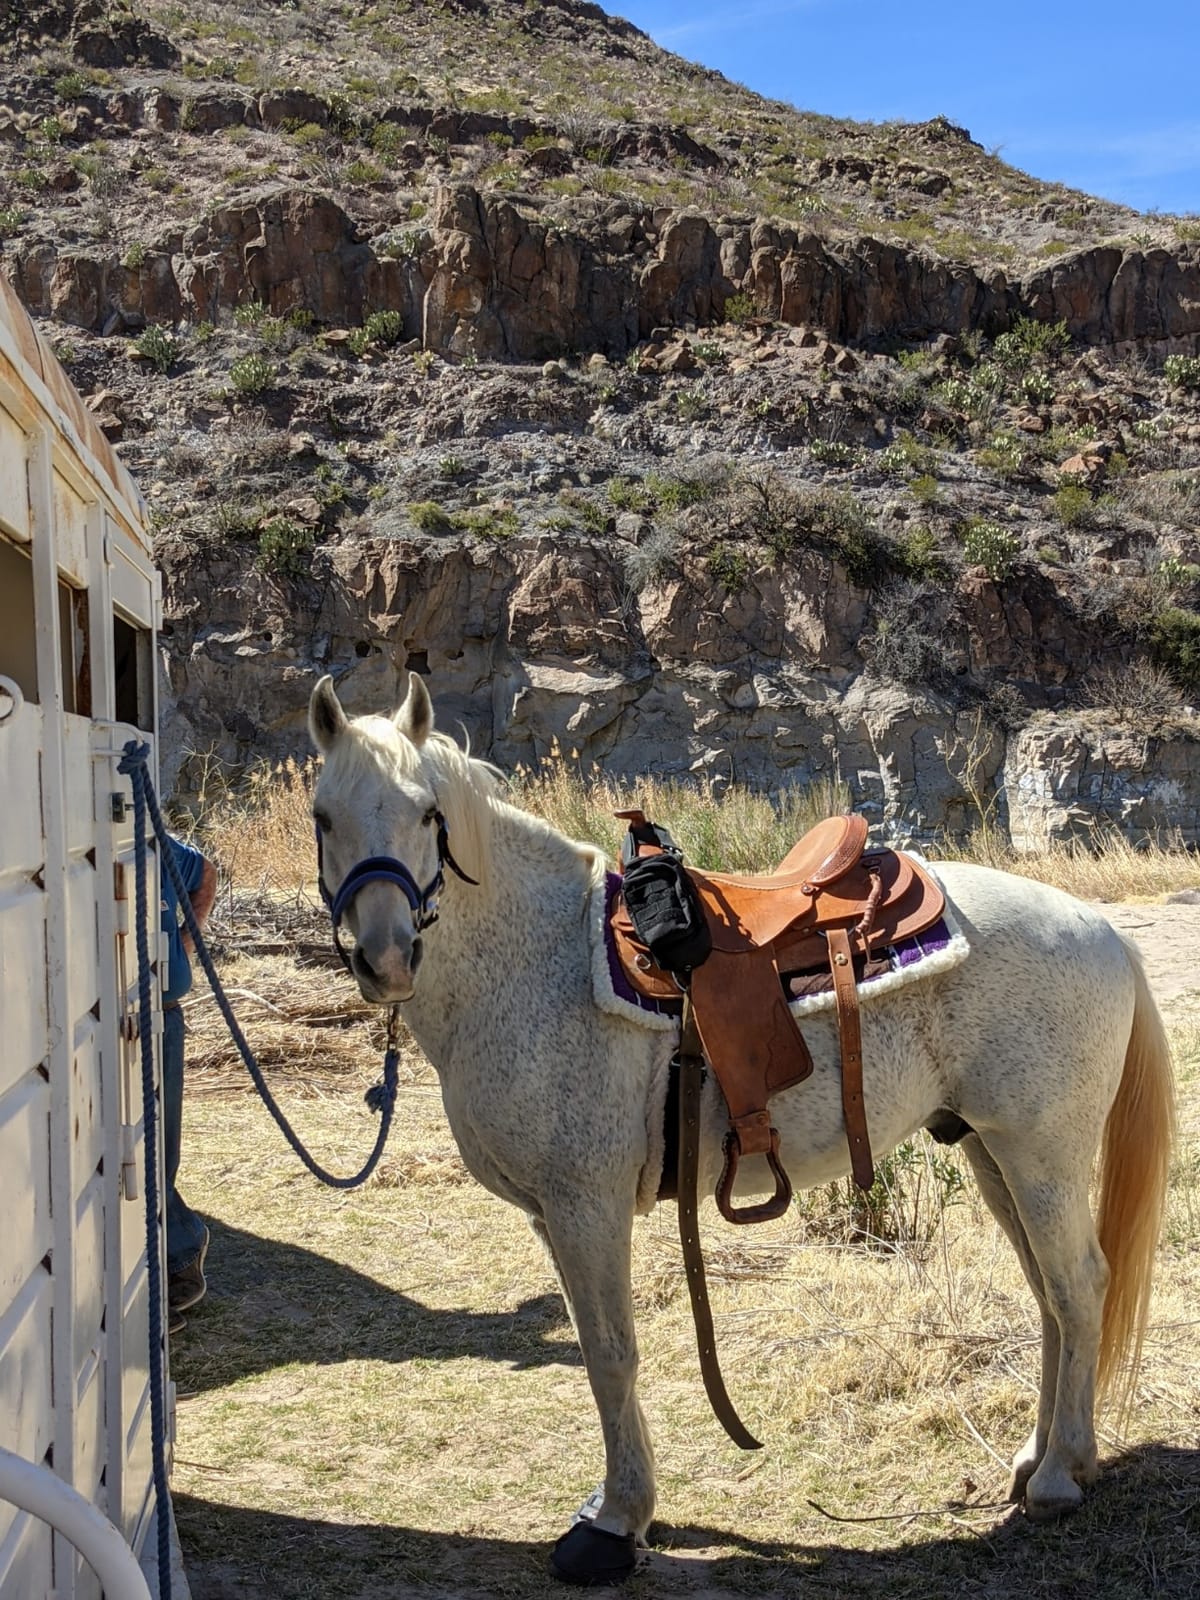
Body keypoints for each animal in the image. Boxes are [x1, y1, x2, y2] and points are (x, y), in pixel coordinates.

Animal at [307, 671, 1176, 1585]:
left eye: (427, 812)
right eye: (323, 816)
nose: (385, 959)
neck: (540, 961)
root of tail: (1101, 929)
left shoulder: (586, 1206)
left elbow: (611, 1352)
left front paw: (615, 1522)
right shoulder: (553, 1216)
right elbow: (590, 1347)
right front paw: (618, 1506)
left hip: (1041, 1154)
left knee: (1079, 1285)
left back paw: (1059, 1475)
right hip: (989, 1151)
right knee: (1050, 1296)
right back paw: (1038, 1456)